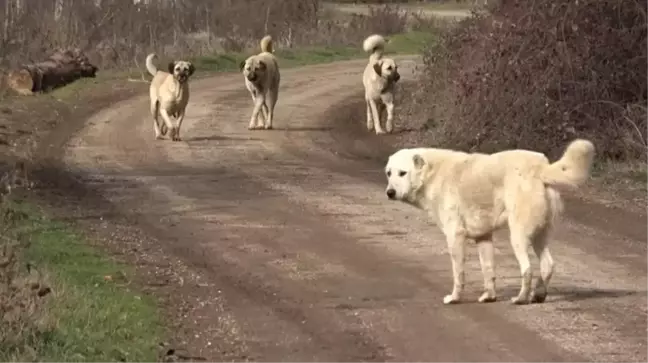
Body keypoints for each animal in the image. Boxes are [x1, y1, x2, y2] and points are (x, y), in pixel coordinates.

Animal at [382, 141, 596, 306]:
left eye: (403, 173)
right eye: (388, 173)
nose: (389, 193)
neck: (432, 174)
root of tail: (541, 166)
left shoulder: (455, 236)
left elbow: (458, 273)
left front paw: (454, 298)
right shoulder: (483, 237)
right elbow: (488, 270)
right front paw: (489, 297)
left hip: (518, 237)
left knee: (527, 269)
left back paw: (520, 299)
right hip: (539, 236)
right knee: (548, 265)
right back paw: (538, 295)